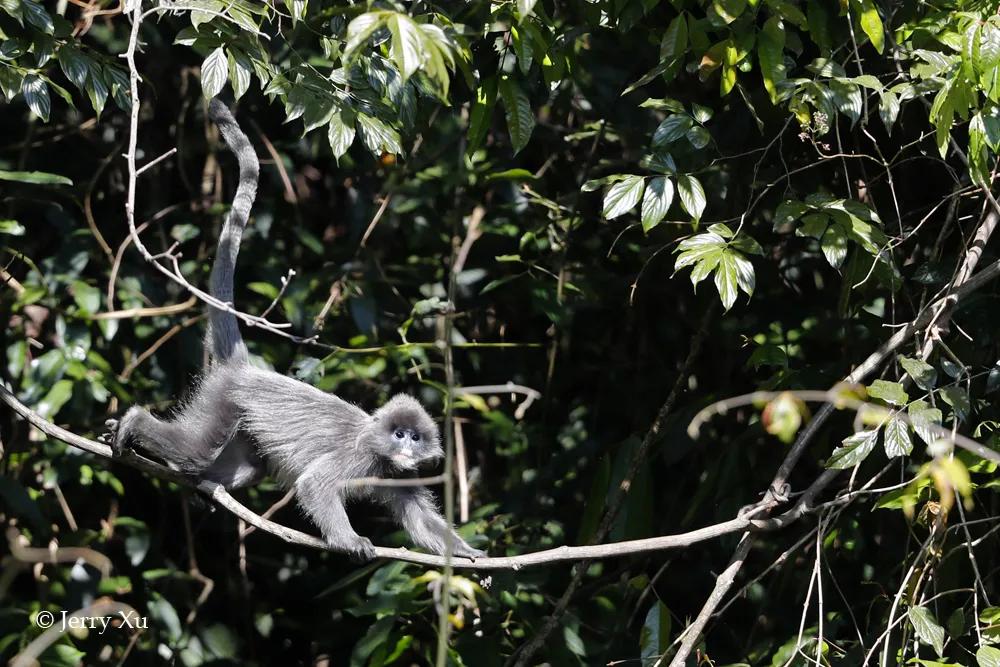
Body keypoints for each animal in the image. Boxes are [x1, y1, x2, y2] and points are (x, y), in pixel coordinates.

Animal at [105, 100, 484, 564]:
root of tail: (245, 370)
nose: (407, 447)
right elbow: (314, 485)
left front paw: (469, 554)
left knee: (245, 468)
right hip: (222, 400)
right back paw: (137, 422)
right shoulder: (356, 454)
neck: (380, 451)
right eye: (399, 435)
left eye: (414, 437)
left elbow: (417, 519)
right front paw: (349, 541)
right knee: (196, 452)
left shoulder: (397, 473)